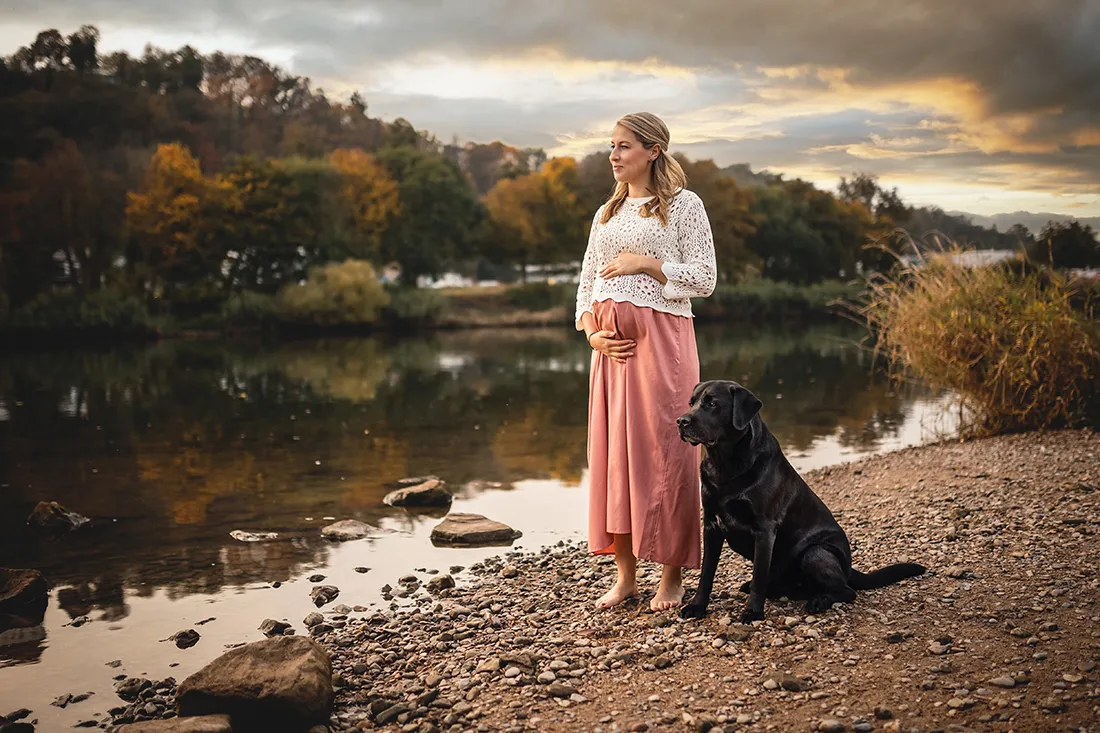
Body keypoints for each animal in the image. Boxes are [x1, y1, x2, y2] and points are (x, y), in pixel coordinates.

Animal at [673, 378, 924, 620]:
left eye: (713, 403)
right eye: (691, 402)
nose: (681, 421)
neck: (725, 465)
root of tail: (849, 568)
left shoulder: (765, 530)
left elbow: (758, 578)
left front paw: (753, 612)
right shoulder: (711, 525)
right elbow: (706, 574)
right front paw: (697, 606)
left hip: (816, 552)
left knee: (846, 590)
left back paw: (819, 601)